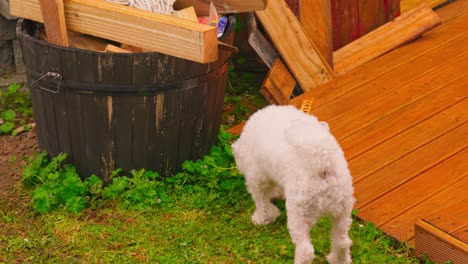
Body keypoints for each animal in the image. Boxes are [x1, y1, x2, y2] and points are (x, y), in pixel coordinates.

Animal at [232, 105, 356, 264]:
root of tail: (322, 164)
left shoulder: (257, 180)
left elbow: (262, 203)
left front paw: (262, 218)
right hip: (342, 210)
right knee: (342, 241)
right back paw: (339, 259)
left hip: (299, 214)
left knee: (306, 250)